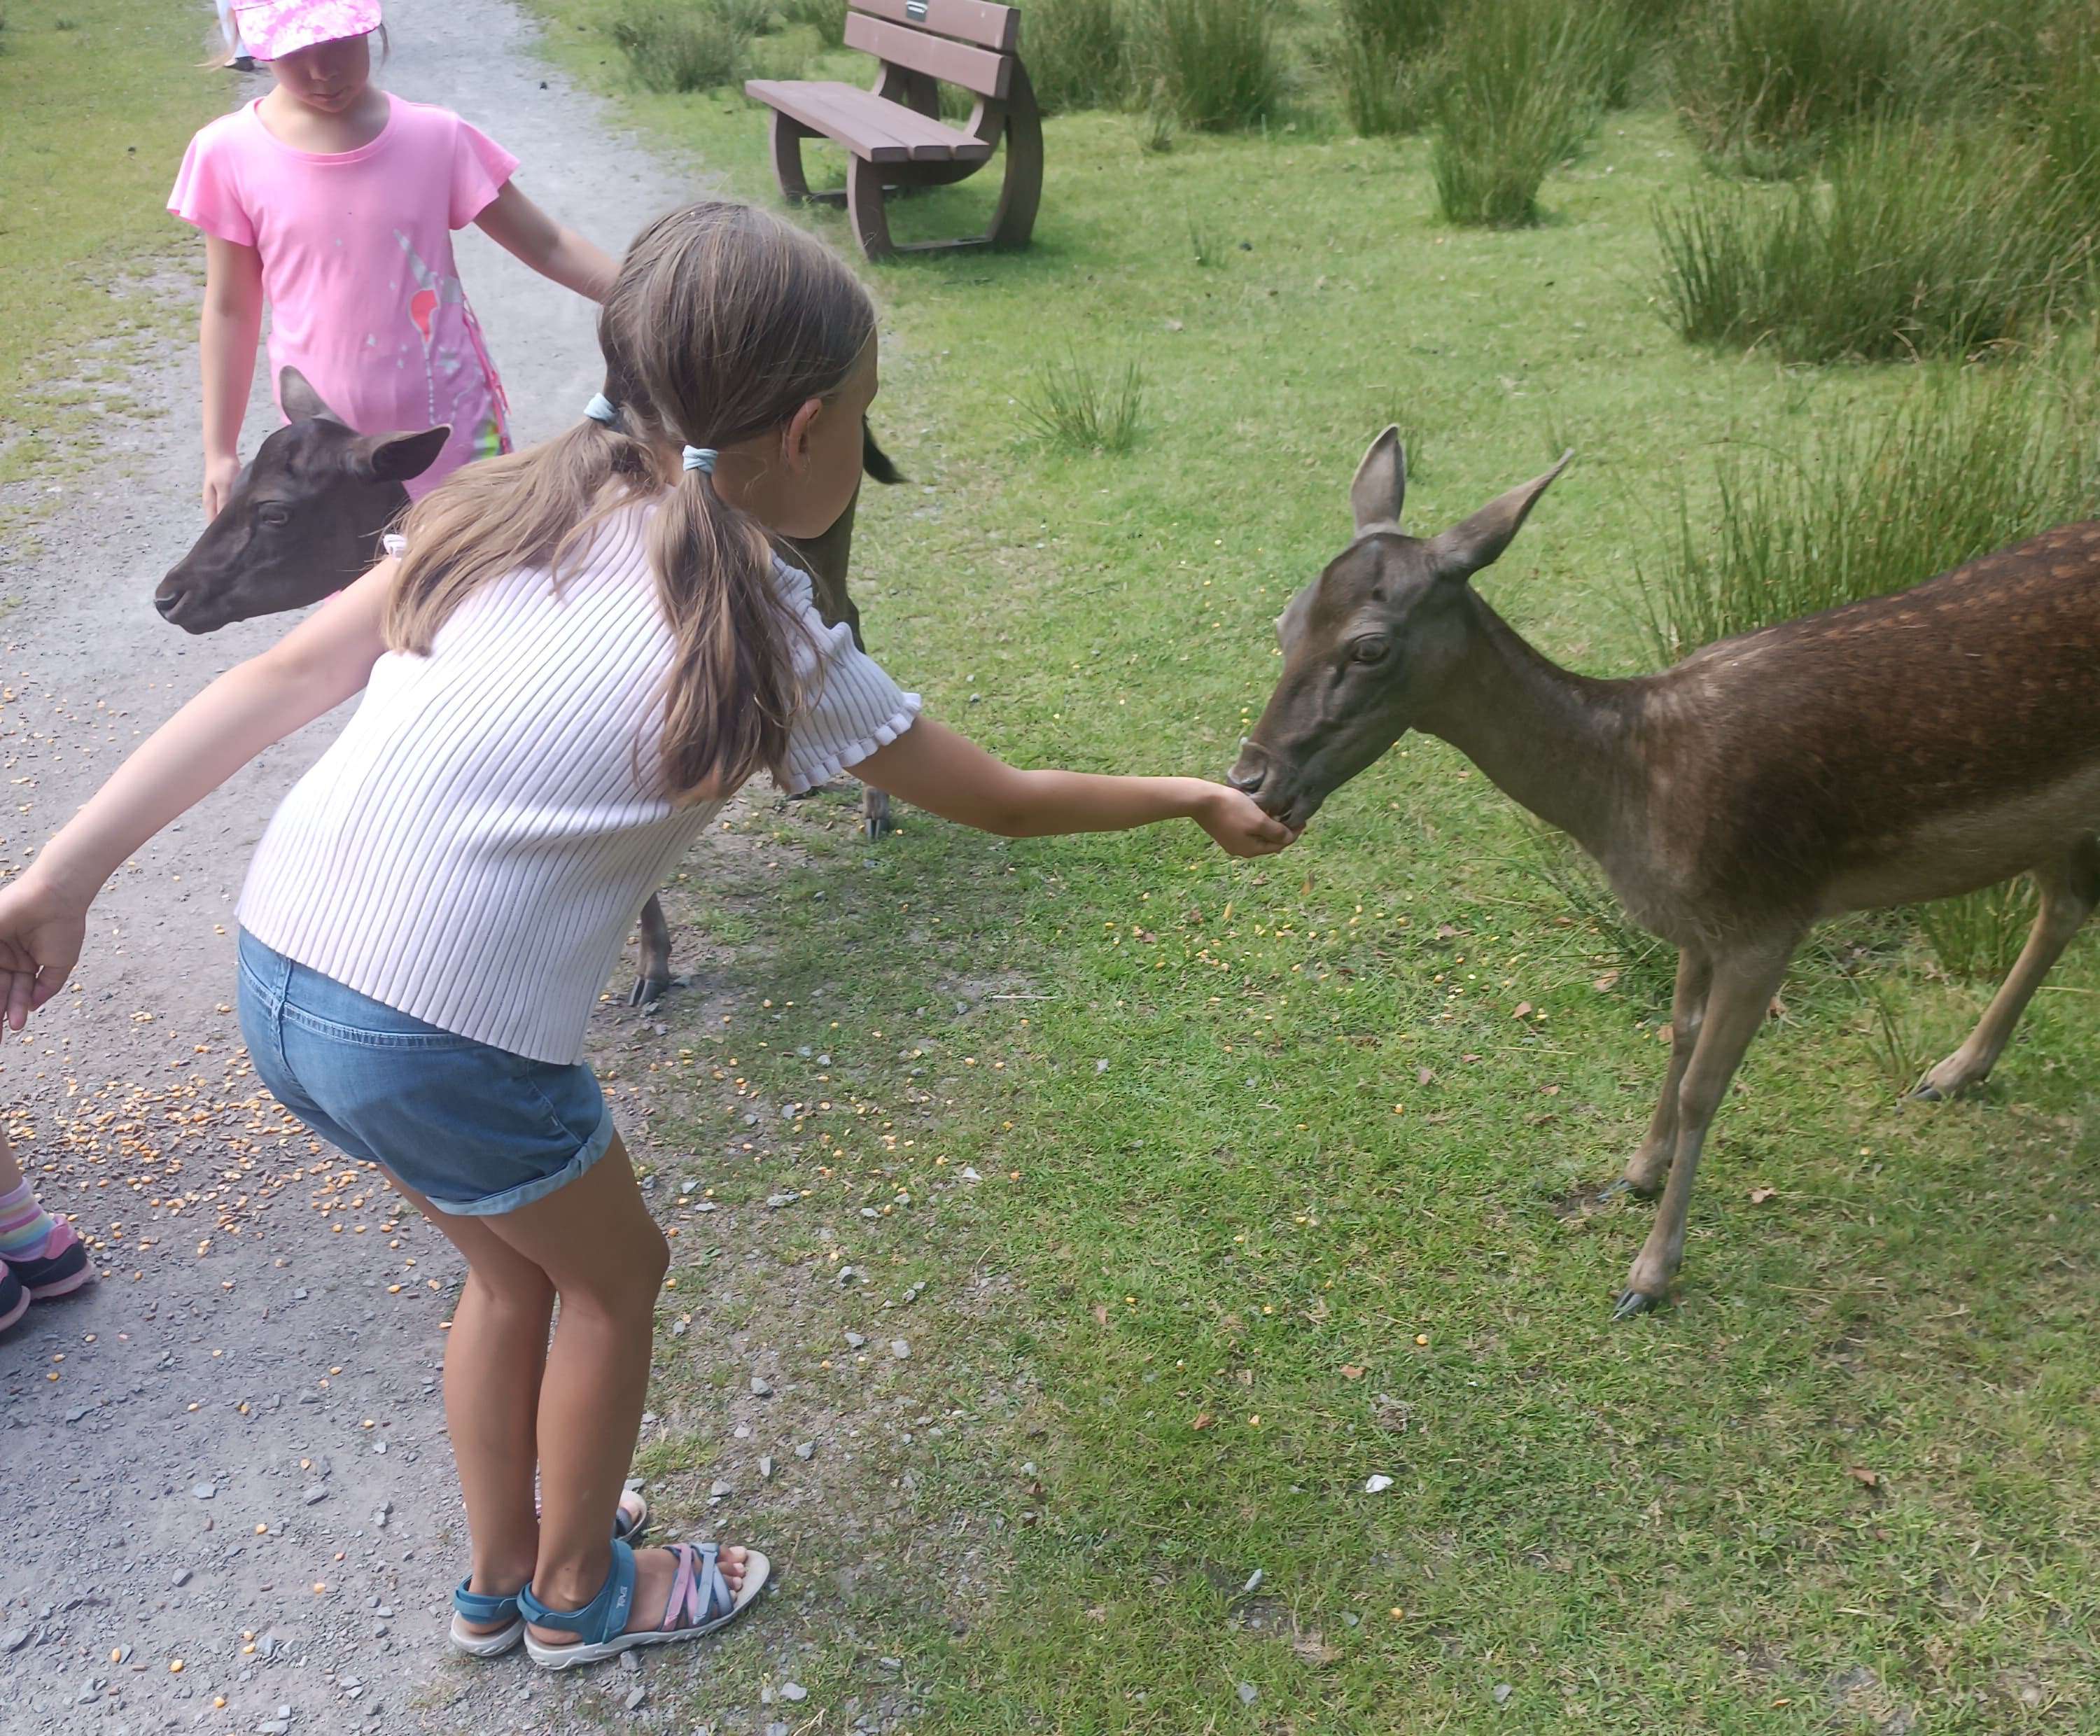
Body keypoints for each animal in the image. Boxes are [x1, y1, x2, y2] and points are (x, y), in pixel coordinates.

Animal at [152, 369, 899, 1003]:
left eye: (275, 511)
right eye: (230, 486)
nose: (169, 594)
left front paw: (653, 968)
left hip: (823, 534)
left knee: (850, 615)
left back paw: (876, 810)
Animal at [1226, 430, 2100, 1318]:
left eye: (1369, 645)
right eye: (1286, 620)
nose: (1251, 780)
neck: (1633, 794)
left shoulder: (1768, 914)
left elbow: (1704, 1086)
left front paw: (1649, 1275)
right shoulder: (1697, 922)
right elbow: (1676, 1034)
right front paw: (1637, 1173)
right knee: (2065, 905)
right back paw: (1955, 1071)